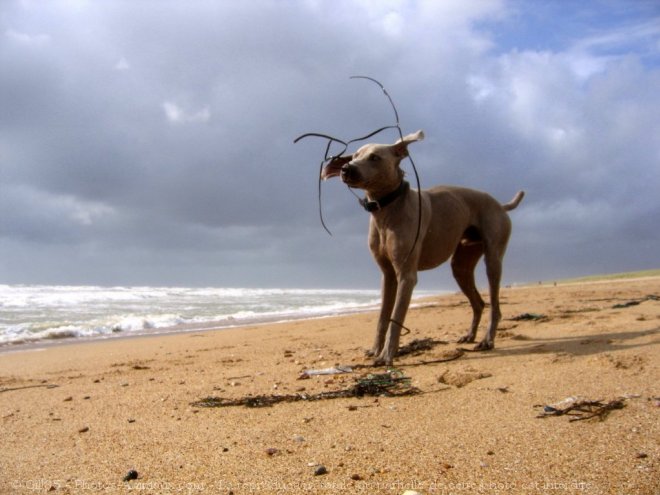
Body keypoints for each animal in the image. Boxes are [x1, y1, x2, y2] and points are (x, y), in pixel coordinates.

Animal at [322, 130, 524, 366]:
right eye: (355, 155)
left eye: (375, 157)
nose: (346, 168)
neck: (386, 210)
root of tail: (500, 205)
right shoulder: (388, 276)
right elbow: (382, 317)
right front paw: (375, 350)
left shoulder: (406, 275)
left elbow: (396, 317)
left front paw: (387, 355)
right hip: (461, 265)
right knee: (479, 303)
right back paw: (470, 335)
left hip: (492, 258)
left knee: (495, 305)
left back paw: (487, 340)